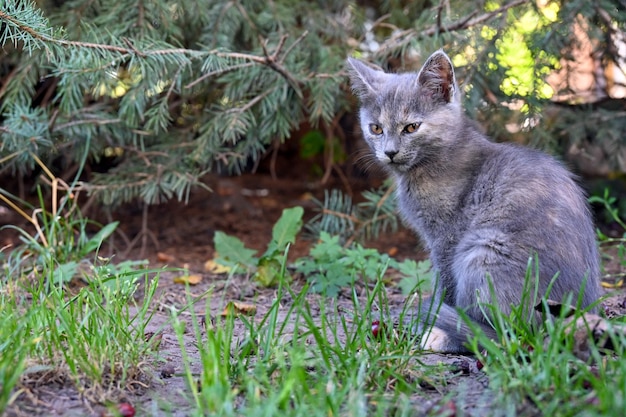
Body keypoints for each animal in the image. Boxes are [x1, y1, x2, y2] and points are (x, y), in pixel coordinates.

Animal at [346, 50, 600, 352]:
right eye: (375, 128)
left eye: (411, 127)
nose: (390, 152)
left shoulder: (447, 238)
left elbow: (445, 284)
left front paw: (436, 313)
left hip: (483, 248)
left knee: (508, 336)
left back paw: (442, 335)